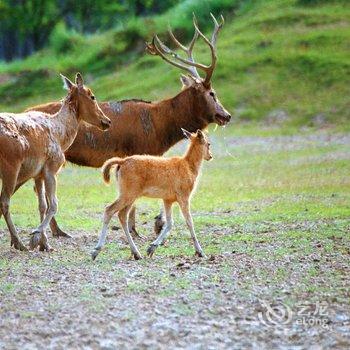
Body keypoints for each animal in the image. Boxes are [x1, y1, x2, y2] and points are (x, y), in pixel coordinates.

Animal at [0, 72, 110, 250]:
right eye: (92, 96)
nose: (107, 121)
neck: (61, 136)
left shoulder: (38, 174)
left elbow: (42, 205)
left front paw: (44, 244)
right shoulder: (52, 167)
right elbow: (54, 205)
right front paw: (35, 236)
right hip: (11, 167)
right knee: (4, 202)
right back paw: (18, 242)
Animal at [26, 15, 231, 242]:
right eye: (212, 93)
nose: (226, 115)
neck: (160, 127)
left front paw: (148, 226)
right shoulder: (139, 149)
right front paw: (143, 228)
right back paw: (56, 231)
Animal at [91, 129, 211, 260]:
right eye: (208, 143)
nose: (210, 156)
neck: (189, 167)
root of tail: (122, 161)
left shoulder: (167, 199)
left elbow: (169, 223)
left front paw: (151, 248)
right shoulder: (184, 197)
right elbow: (189, 222)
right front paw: (201, 252)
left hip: (130, 196)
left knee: (122, 215)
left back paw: (136, 254)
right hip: (128, 194)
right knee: (109, 209)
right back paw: (96, 251)